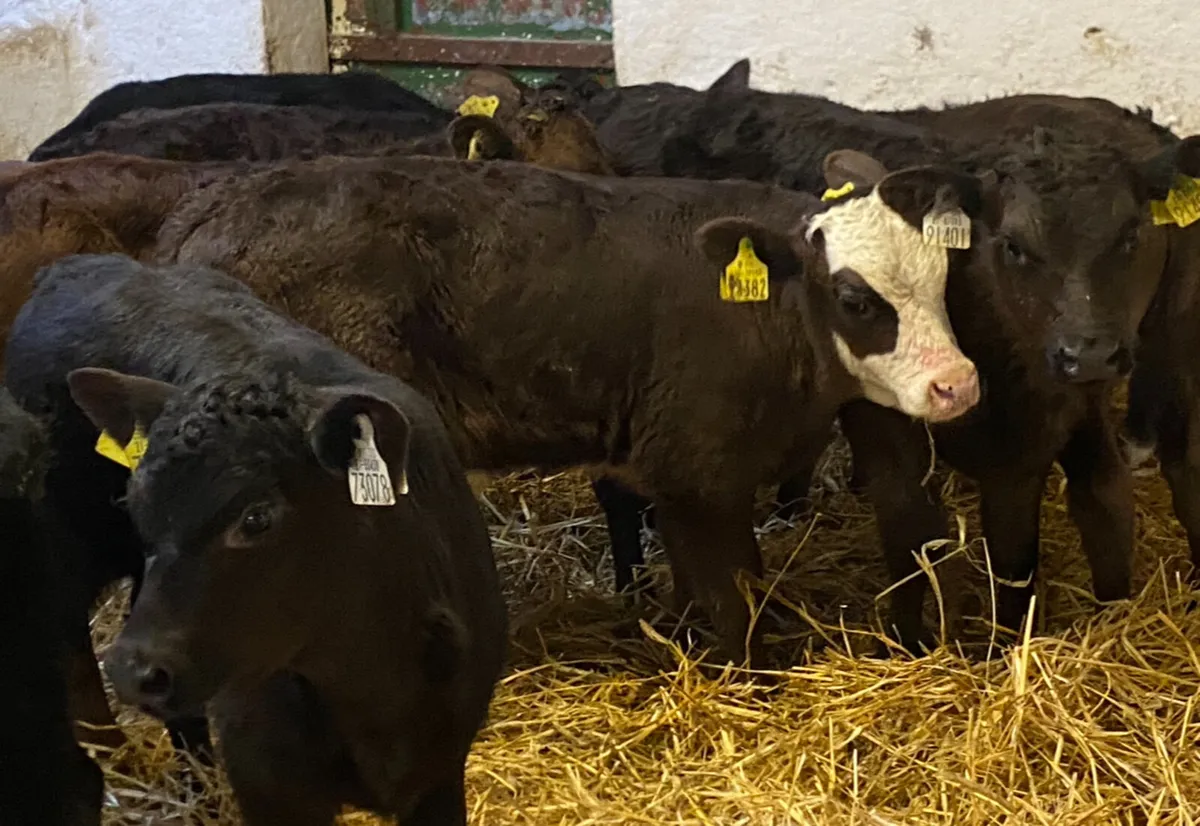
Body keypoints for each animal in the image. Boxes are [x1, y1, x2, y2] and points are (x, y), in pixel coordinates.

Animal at [5, 253, 507, 826]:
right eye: (135, 503)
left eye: (257, 517)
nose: (133, 673)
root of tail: (76, 265)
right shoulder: (268, 780)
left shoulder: (440, 769)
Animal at [149, 152, 989, 664]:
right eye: (855, 298)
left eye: (942, 281)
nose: (956, 383)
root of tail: (213, 205)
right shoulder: (696, 472)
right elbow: (733, 598)